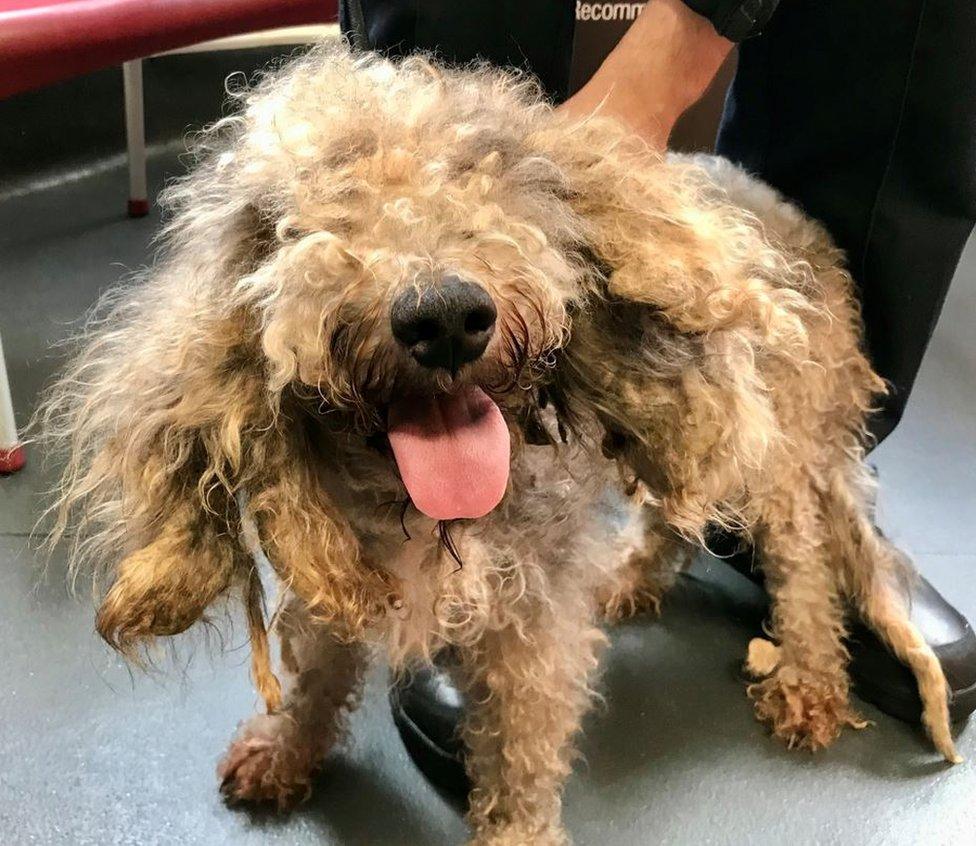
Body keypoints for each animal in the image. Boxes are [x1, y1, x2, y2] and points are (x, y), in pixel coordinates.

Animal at [40, 48, 960, 846]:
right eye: (303, 210)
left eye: (484, 173)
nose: (445, 314)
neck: (421, 510)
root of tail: (782, 208)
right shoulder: (341, 574)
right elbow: (317, 676)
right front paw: (287, 749)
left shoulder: (535, 617)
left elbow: (523, 742)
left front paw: (517, 830)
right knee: (678, 511)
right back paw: (633, 578)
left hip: (772, 439)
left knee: (802, 558)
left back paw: (808, 677)